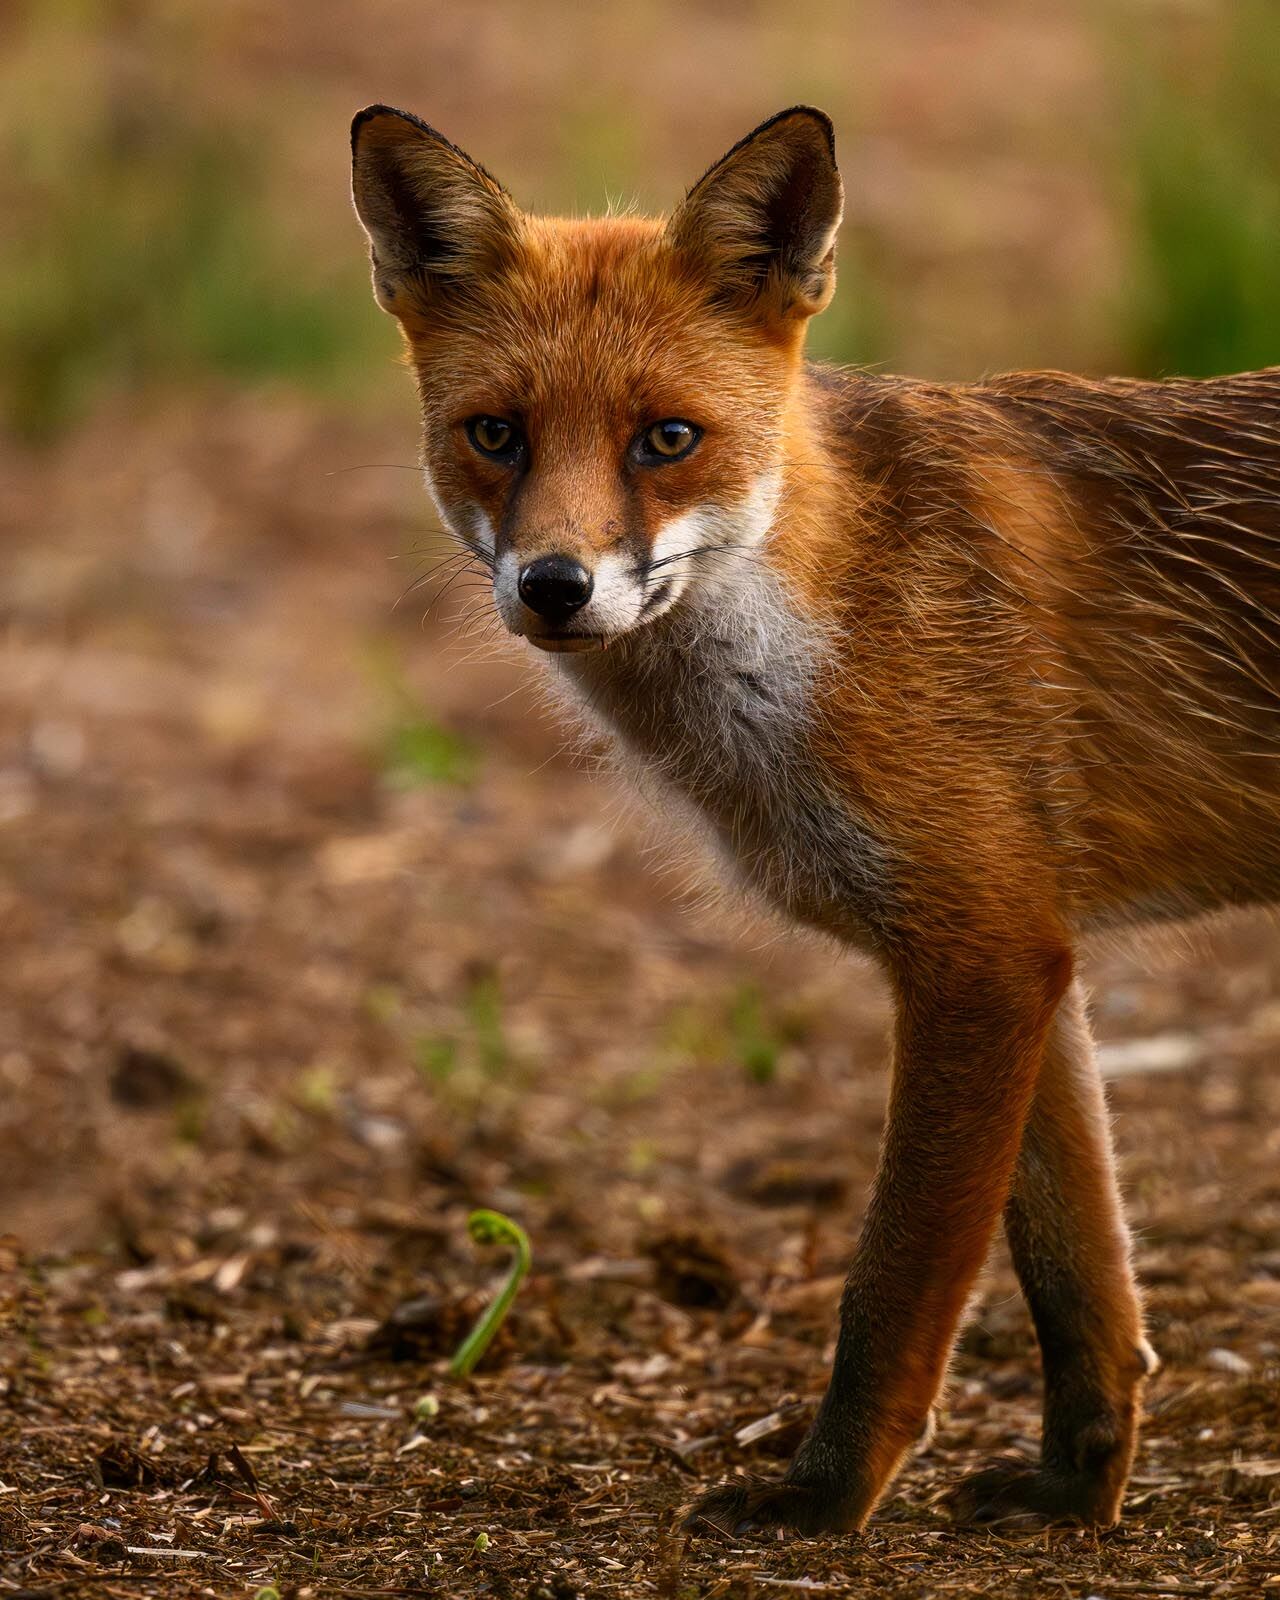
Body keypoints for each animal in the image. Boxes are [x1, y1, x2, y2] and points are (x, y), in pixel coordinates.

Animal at [349, 103, 1280, 1538]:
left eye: (665, 439)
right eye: (496, 434)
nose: (555, 586)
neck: (831, 613)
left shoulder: (980, 953)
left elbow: (895, 1279)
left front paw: (826, 1499)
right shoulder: (1022, 952)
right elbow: (1078, 1278)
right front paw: (1075, 1492)